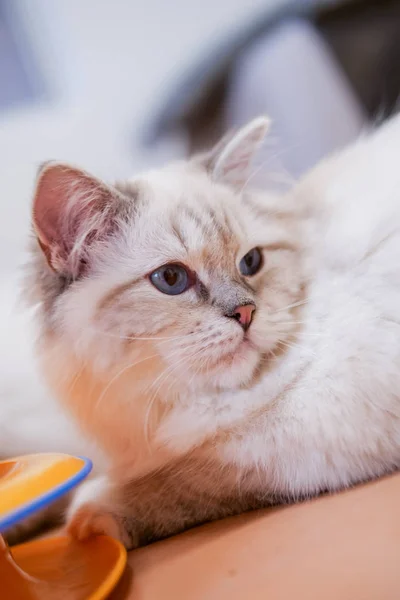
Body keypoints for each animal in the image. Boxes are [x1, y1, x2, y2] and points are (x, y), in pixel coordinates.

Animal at [3, 112, 400, 548]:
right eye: (172, 279)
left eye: (251, 262)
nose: (246, 313)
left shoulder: (302, 440)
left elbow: (186, 478)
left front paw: (90, 517)